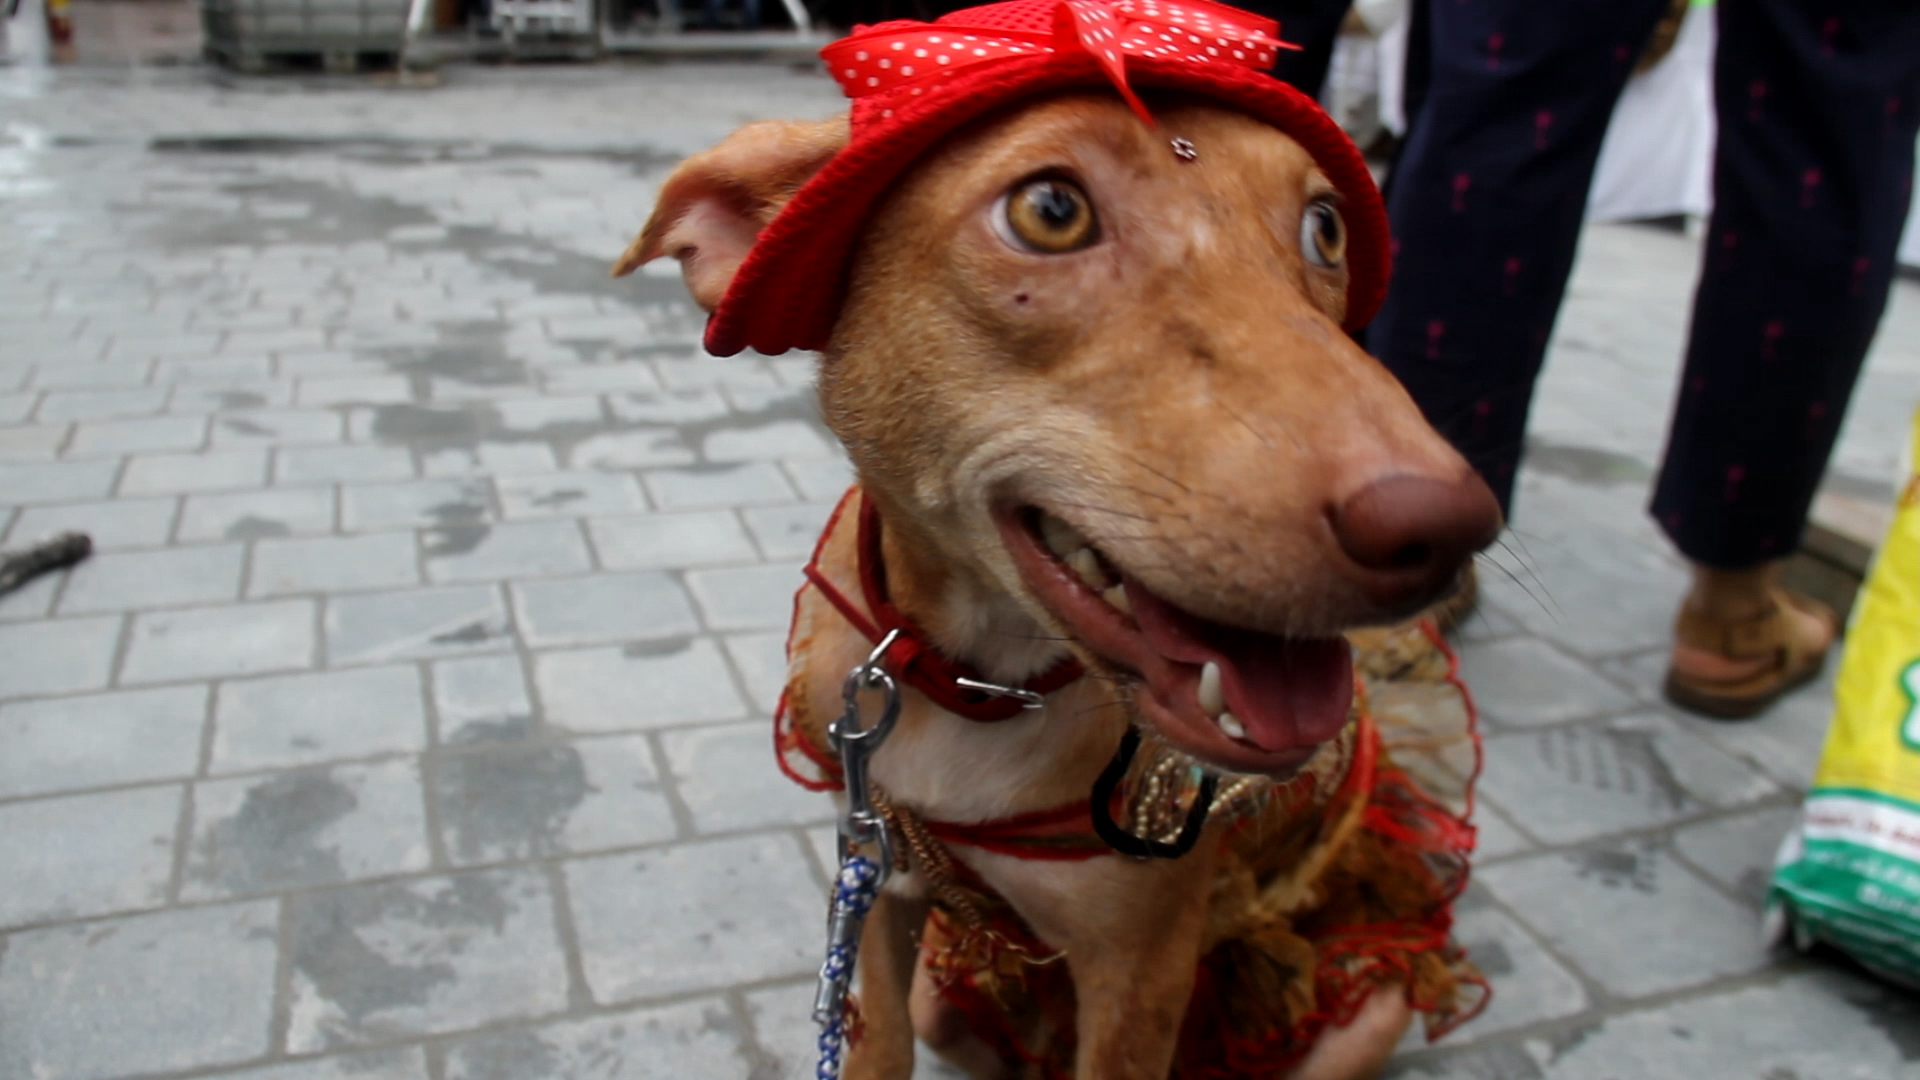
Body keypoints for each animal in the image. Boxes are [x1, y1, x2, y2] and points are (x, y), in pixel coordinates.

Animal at [614, 73, 1497, 1076]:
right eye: (1051, 211)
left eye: (1328, 228)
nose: (1447, 529)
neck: (973, 680)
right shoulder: (874, 875)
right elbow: (878, 1044)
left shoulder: (1141, 971)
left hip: (1363, 1009)